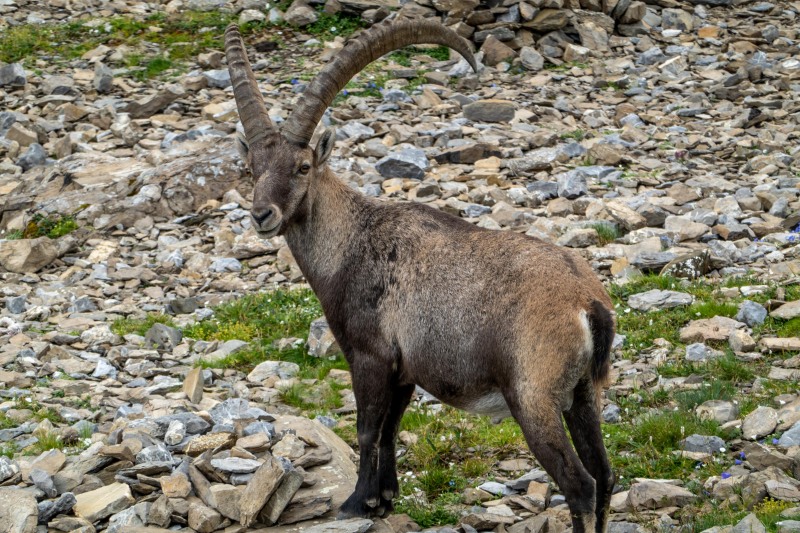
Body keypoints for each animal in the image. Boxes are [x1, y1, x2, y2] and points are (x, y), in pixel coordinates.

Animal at [224, 19, 616, 533]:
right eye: (252, 167)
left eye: (303, 166)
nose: (262, 215)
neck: (351, 242)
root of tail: (588, 305)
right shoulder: (404, 368)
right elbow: (391, 429)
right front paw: (384, 498)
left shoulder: (369, 355)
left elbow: (368, 428)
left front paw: (357, 502)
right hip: (584, 394)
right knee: (605, 476)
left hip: (535, 397)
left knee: (580, 483)